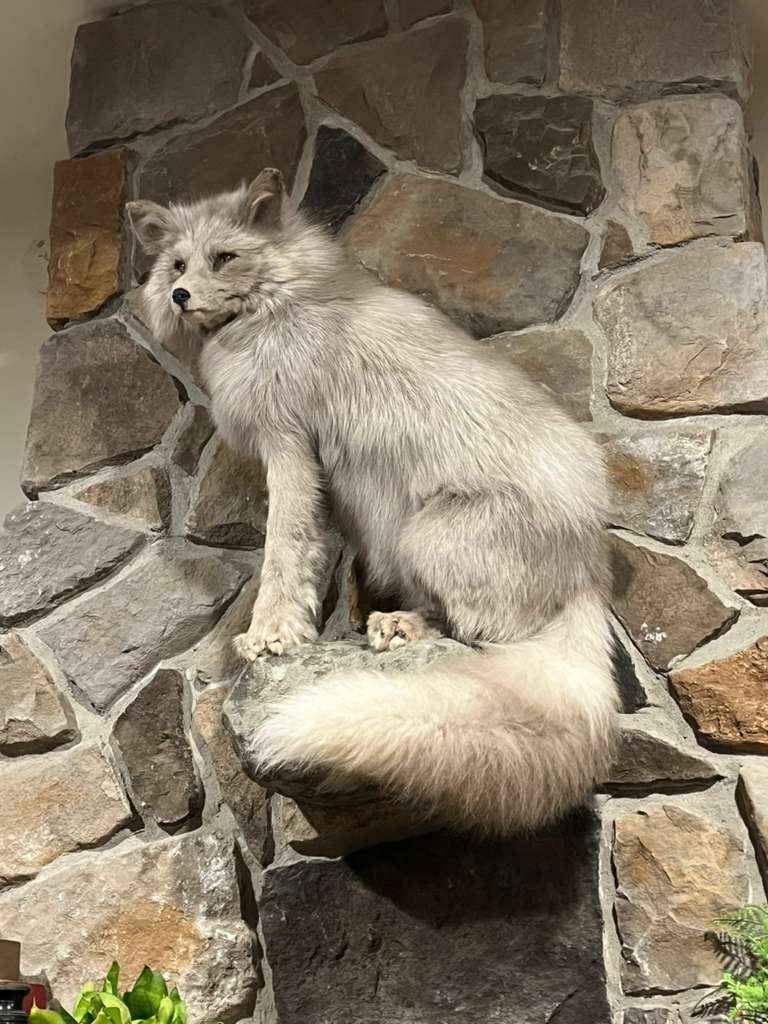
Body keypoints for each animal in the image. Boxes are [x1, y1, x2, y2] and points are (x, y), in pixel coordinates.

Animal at [126, 168, 619, 835]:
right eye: (177, 264)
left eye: (223, 258)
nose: (179, 295)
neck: (280, 306)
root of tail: (589, 574)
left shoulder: (288, 446)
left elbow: (284, 550)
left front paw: (272, 634)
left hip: (427, 535)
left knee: (478, 635)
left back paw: (402, 627)